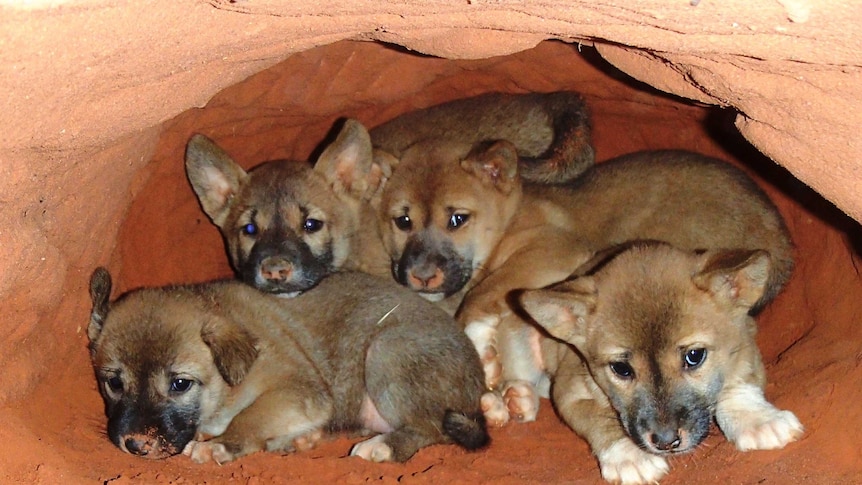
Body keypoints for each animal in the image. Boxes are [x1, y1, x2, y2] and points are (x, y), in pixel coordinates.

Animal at [89, 268, 492, 462]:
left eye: (179, 384)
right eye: (114, 383)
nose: (135, 445)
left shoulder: (298, 390)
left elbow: (250, 416)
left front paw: (222, 445)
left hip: (386, 350)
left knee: (430, 429)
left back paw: (383, 448)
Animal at [516, 242, 808, 484]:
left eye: (694, 356)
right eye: (621, 369)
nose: (666, 443)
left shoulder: (744, 341)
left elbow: (737, 386)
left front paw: (757, 419)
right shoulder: (569, 392)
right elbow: (598, 418)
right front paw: (629, 456)